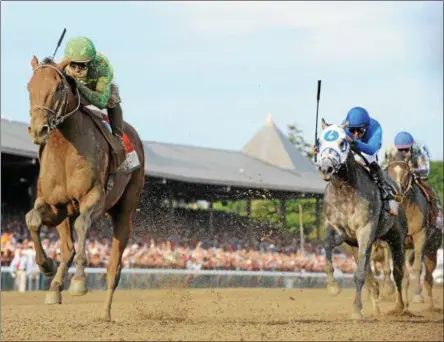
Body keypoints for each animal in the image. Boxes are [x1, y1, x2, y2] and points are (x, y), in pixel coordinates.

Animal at [25, 56, 146, 320]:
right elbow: (32, 219)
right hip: (65, 215)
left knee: (114, 267)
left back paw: (105, 312)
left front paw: (79, 281)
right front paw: (46, 265)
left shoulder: (94, 199)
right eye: (29, 87)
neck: (65, 149)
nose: (38, 130)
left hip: (125, 210)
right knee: (68, 249)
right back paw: (54, 288)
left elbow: (82, 224)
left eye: (58, 88)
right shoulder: (54, 205)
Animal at [318, 119, 408, 320]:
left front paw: (356, 310)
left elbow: (359, 274)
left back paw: (399, 307)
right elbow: (327, 244)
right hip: (357, 245)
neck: (345, 190)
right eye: (320, 141)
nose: (326, 168)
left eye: (343, 142)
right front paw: (333, 287)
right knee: (370, 274)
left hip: (396, 237)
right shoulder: (338, 229)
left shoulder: (366, 230)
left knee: (398, 273)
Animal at [386, 153, 442, 310]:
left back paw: (431, 306)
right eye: (388, 172)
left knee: (429, 276)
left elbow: (417, 268)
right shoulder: (398, 243)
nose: (397, 192)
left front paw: (417, 295)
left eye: (407, 172)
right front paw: (399, 303)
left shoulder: (420, 237)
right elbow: (401, 271)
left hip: (432, 249)